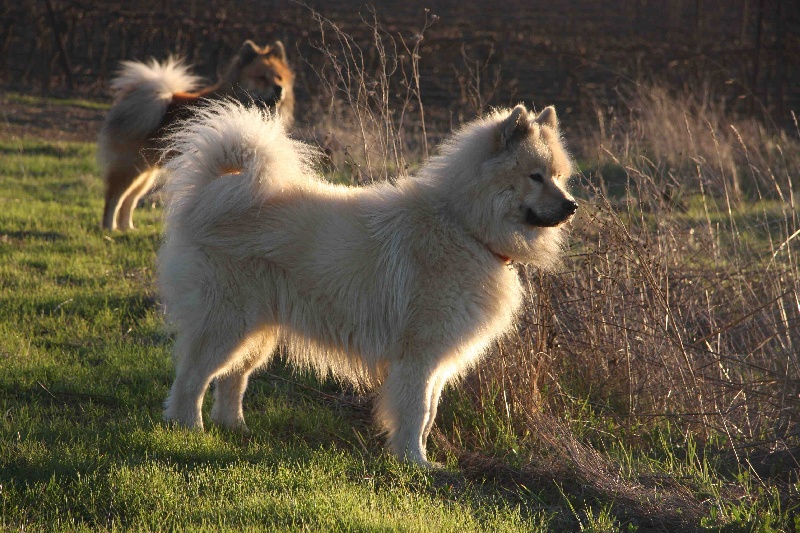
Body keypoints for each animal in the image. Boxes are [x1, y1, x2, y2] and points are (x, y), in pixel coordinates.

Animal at [97, 42, 290, 231]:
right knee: (114, 197)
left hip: (146, 172)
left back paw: (127, 228)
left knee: (130, 199)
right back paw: (109, 228)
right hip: (131, 167)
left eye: (279, 77)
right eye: (262, 77)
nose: (279, 88)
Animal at [159, 101, 580, 466]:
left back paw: (235, 427)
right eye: (536, 176)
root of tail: (209, 196)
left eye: (559, 177)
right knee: (192, 378)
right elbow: (416, 411)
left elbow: (429, 413)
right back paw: (188, 429)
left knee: (233, 379)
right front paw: (414, 462)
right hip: (228, 322)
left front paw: (416, 457)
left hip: (258, 331)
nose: (572, 205)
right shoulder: (419, 356)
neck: (465, 226)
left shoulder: (435, 361)